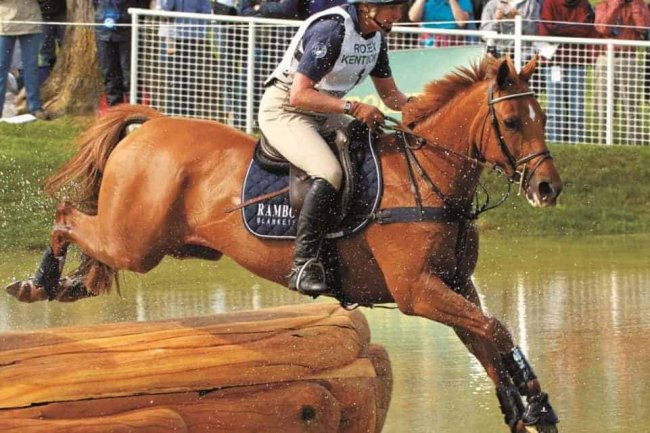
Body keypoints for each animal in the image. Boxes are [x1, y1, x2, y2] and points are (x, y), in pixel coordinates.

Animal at [6, 55, 562, 433]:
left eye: (544, 117)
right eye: (512, 122)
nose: (547, 188)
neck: (427, 176)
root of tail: (155, 124)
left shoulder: (456, 285)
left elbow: (488, 338)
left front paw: (529, 406)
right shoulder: (418, 292)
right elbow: (497, 332)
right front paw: (532, 398)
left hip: (139, 239)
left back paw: (69, 284)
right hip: (135, 242)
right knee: (66, 216)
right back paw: (39, 284)